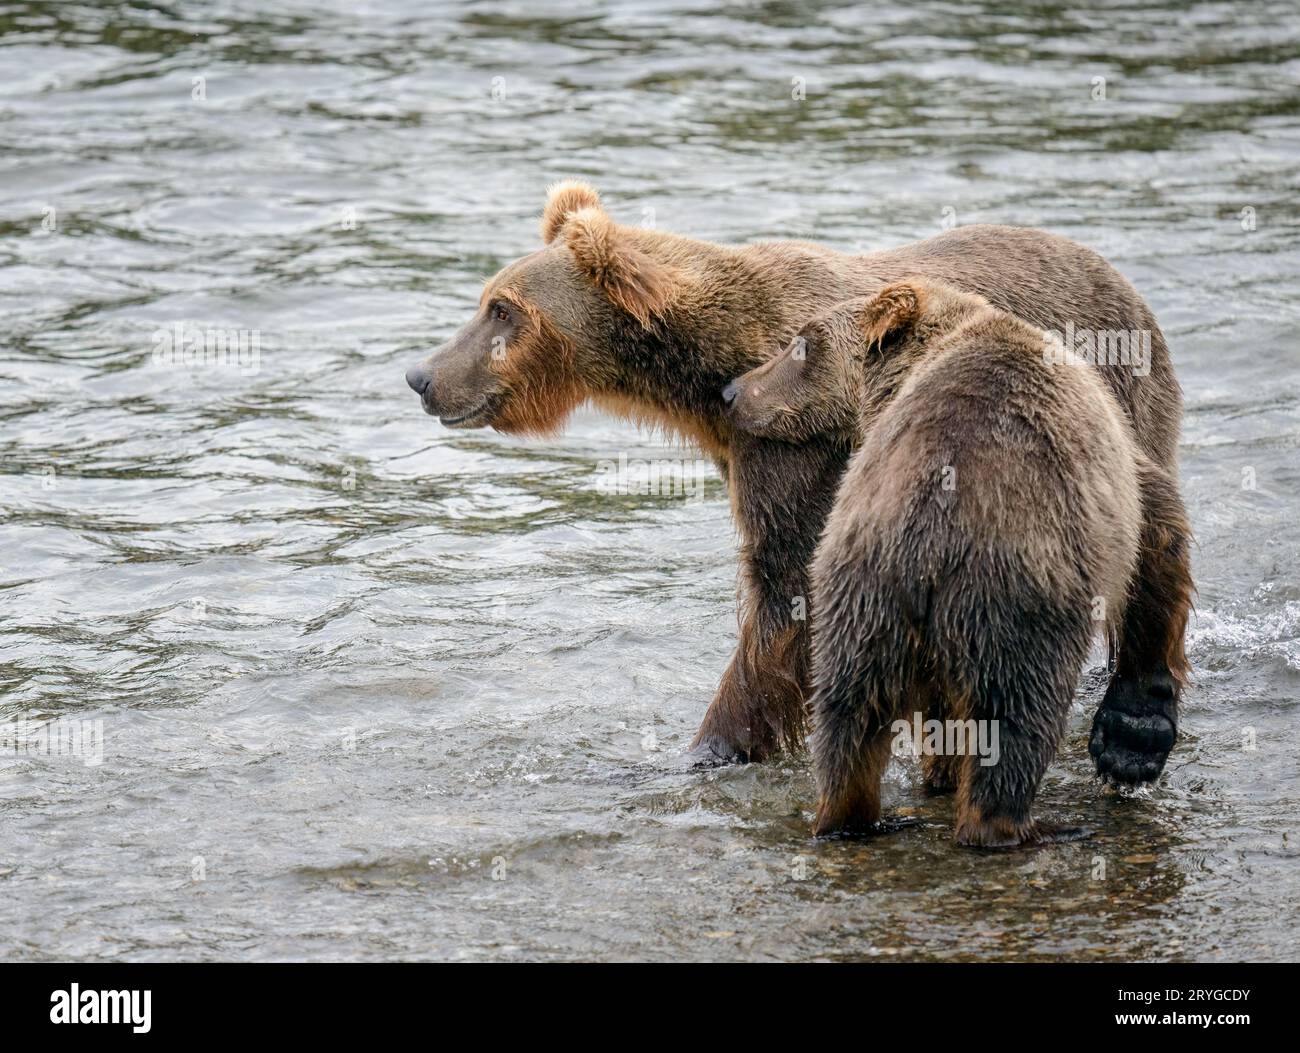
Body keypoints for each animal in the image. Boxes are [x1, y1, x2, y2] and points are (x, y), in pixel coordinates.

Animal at [403, 184, 1190, 785]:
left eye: (502, 308)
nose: (421, 375)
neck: (708, 373)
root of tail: (1124, 281)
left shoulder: (794, 436)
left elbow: (787, 594)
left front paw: (704, 747)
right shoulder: (743, 439)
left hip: (1104, 401)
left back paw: (1131, 725)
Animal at [722, 280, 1190, 847]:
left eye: (803, 344)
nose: (732, 392)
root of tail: (925, 529)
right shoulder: (1115, 481)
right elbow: (1159, 539)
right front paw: (1133, 739)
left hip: (854, 590)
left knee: (847, 716)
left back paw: (855, 816)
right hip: (1017, 593)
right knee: (1016, 716)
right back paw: (1024, 824)